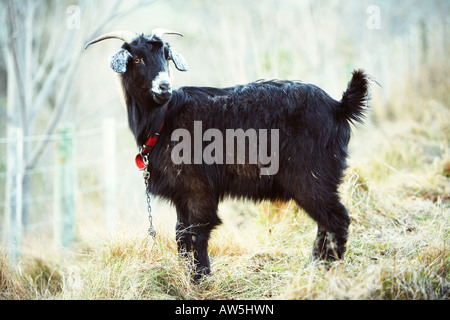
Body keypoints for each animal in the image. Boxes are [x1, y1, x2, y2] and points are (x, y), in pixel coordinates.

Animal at [85, 28, 370, 282]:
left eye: (166, 55)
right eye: (136, 58)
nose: (164, 87)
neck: (164, 120)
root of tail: (339, 107)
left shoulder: (198, 188)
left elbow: (197, 232)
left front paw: (200, 280)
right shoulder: (181, 193)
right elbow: (180, 233)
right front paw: (190, 276)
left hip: (311, 176)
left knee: (336, 219)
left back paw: (323, 269)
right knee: (327, 223)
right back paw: (314, 267)